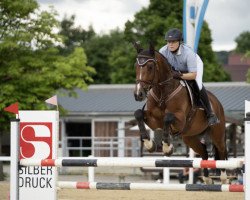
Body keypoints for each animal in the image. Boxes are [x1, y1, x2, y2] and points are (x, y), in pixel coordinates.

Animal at [134, 42, 228, 184]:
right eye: (136, 66)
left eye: (150, 67)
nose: (138, 94)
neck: (163, 93)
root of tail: (218, 103)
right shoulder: (153, 121)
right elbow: (138, 114)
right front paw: (150, 145)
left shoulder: (180, 120)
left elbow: (168, 117)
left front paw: (167, 147)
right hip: (189, 137)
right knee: (204, 152)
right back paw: (207, 178)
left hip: (217, 134)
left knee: (221, 151)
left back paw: (223, 177)